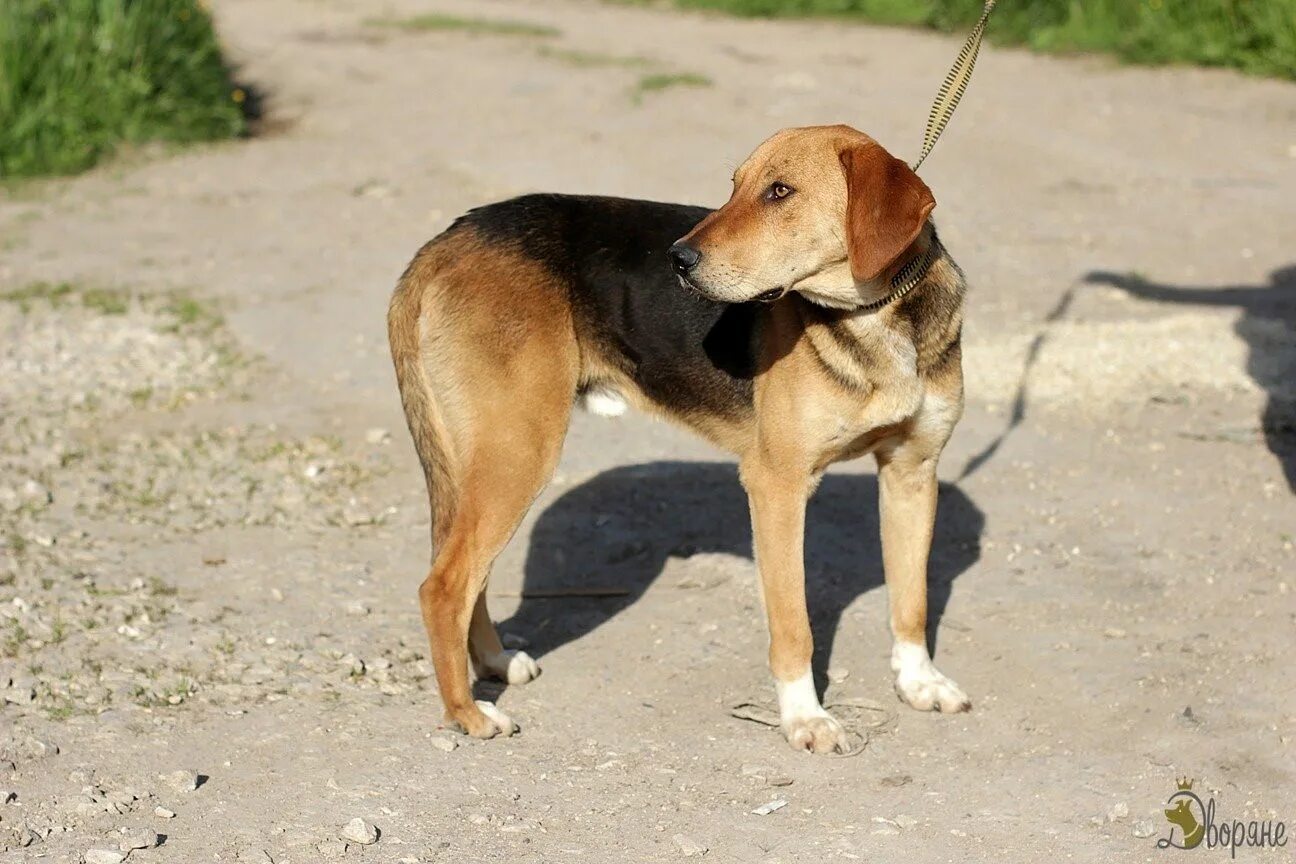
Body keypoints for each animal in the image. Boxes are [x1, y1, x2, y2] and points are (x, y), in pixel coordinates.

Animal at [388, 125, 969, 751]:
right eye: (734, 186)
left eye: (780, 191)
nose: (678, 259)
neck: (878, 316)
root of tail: (445, 241)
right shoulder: (778, 488)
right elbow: (795, 627)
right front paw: (805, 718)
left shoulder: (912, 473)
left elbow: (911, 601)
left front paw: (919, 683)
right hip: (517, 454)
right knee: (443, 586)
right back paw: (467, 714)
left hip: (487, 463)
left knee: (464, 571)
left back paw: (494, 663)